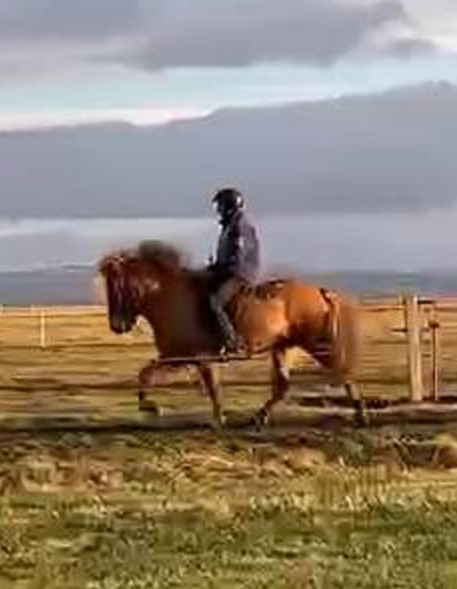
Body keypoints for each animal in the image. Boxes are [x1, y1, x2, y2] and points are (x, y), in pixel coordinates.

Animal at [97, 240, 366, 428]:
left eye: (115, 286)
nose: (117, 325)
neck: (169, 297)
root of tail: (320, 291)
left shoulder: (200, 358)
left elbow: (213, 389)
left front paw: (217, 421)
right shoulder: (176, 357)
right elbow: (145, 375)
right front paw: (151, 407)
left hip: (317, 345)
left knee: (343, 371)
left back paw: (361, 415)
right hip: (283, 347)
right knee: (283, 386)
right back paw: (259, 417)